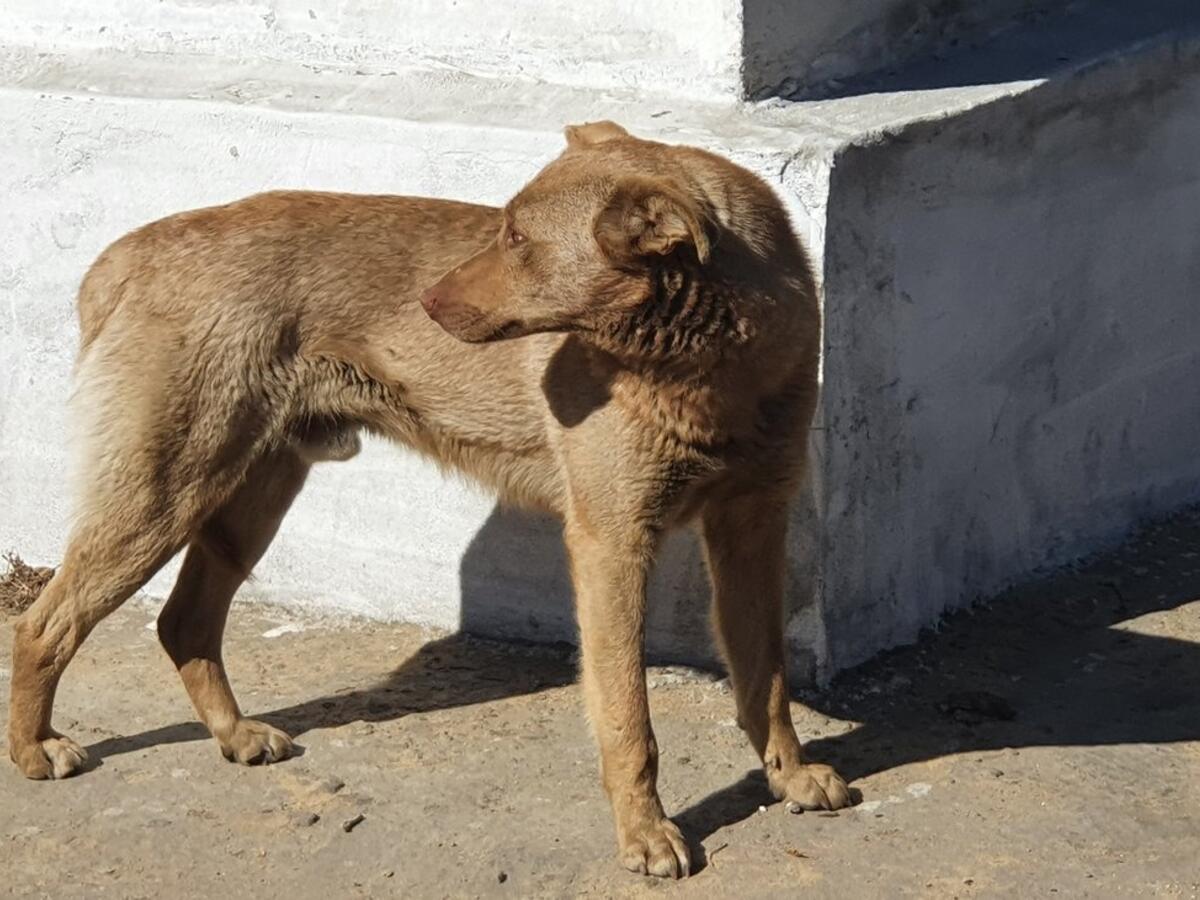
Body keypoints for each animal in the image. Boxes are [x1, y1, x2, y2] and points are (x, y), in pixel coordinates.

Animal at [9, 121, 854, 883]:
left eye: (517, 239)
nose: (424, 300)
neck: (710, 364)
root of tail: (133, 248)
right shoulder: (613, 540)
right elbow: (627, 718)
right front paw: (646, 834)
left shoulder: (753, 526)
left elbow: (765, 678)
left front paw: (789, 776)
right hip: (164, 491)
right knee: (43, 623)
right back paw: (32, 748)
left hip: (248, 501)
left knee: (184, 621)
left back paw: (235, 734)